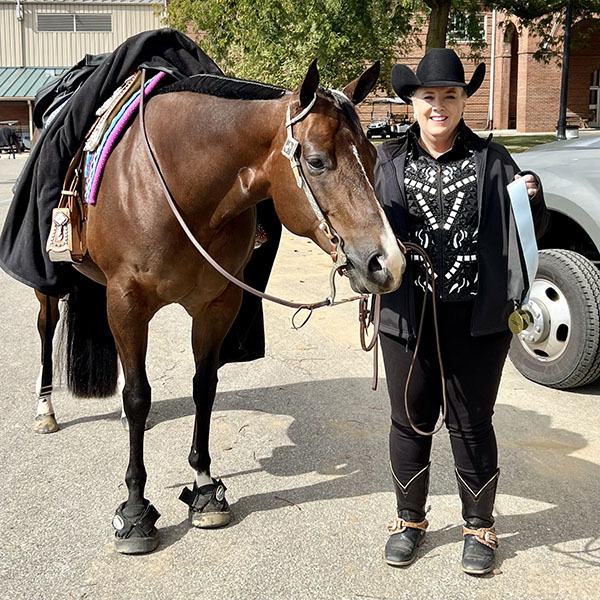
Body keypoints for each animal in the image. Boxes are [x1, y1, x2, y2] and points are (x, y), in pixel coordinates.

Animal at [31, 60, 406, 554]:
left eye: (373, 157)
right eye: (317, 161)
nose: (387, 263)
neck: (178, 184)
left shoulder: (217, 305)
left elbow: (203, 387)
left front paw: (205, 489)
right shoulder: (126, 300)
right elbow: (138, 395)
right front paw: (134, 511)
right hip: (50, 288)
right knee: (46, 327)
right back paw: (45, 410)